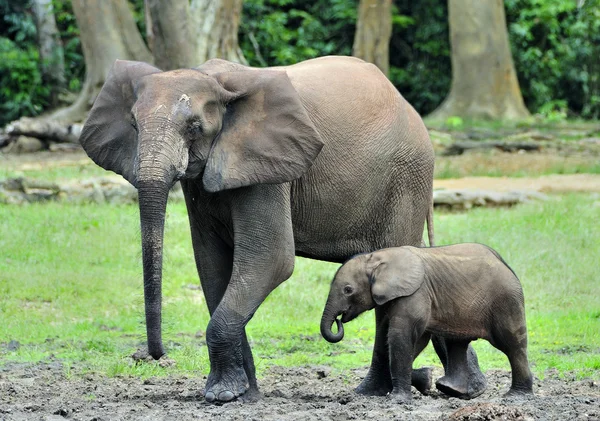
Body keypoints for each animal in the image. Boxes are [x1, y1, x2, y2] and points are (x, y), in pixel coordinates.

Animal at [79, 55, 486, 400]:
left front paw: (223, 395)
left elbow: (270, 260)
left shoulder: (267, 169)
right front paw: (243, 394)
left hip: (405, 179)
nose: (154, 355)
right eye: (134, 125)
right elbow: (213, 267)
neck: (218, 84)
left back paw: (386, 393)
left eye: (194, 127)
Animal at [322, 243, 532, 400]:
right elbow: (393, 337)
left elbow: (402, 336)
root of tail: (504, 262)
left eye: (348, 290)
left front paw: (397, 399)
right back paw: (450, 389)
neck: (376, 257)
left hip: (505, 300)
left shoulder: (416, 293)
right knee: (457, 344)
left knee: (512, 344)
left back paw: (517, 396)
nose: (339, 320)